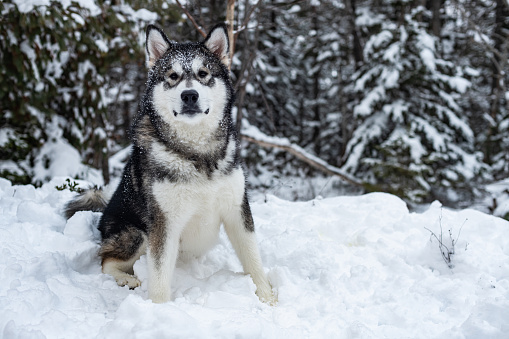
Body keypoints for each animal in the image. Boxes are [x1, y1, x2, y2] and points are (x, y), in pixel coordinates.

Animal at [66, 23, 278, 306]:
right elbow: (158, 275)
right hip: (136, 233)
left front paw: (267, 298)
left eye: (203, 73)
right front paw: (159, 309)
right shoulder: (164, 221)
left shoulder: (237, 209)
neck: (197, 154)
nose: (189, 95)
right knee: (107, 261)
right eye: (173, 76)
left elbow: (253, 258)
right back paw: (126, 279)